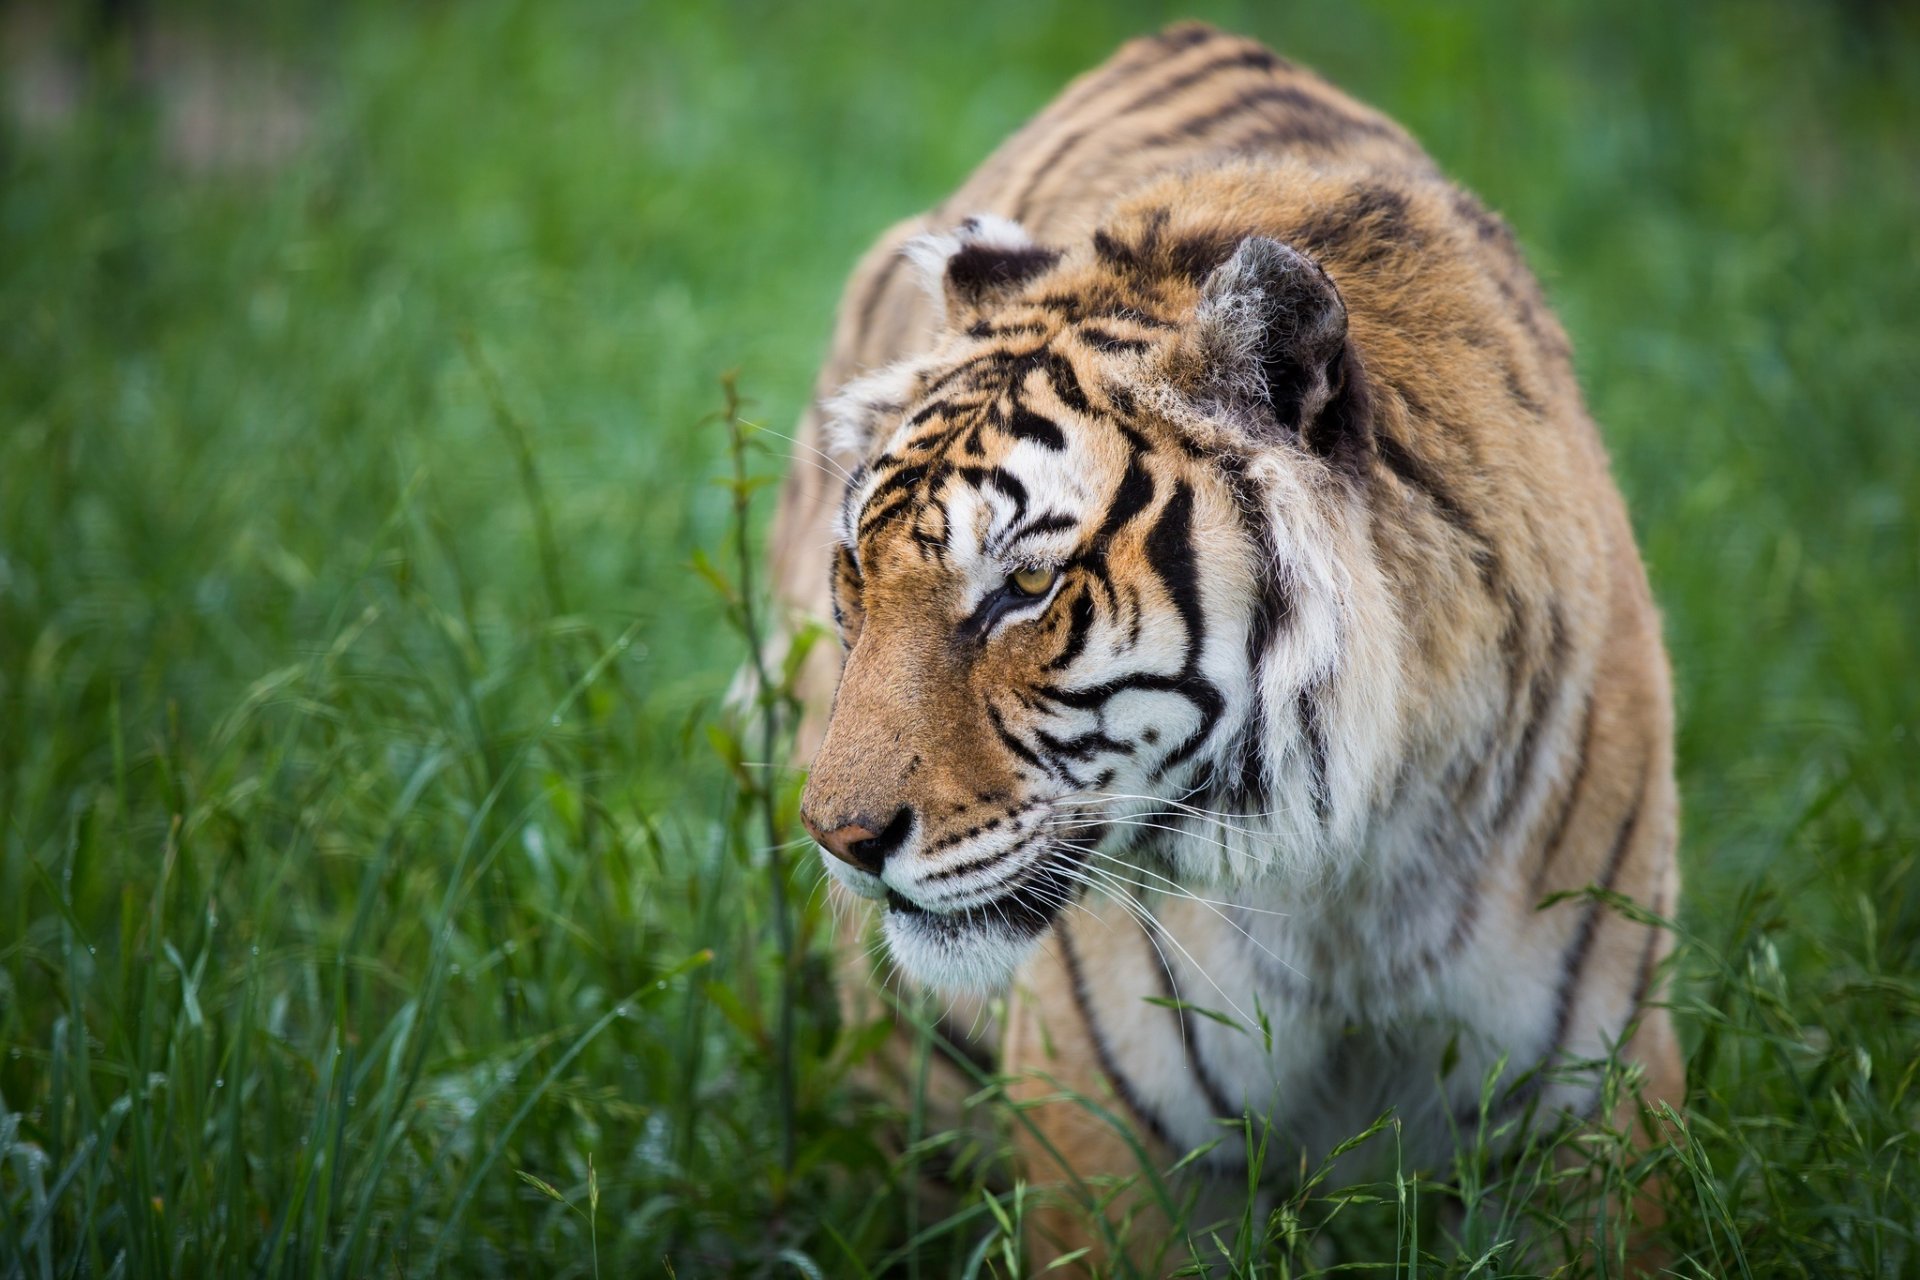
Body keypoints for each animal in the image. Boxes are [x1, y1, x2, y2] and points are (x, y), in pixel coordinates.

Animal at [769, 21, 1683, 1273]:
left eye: (1026, 587)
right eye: (857, 572)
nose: (840, 839)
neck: (1356, 876)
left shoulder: (1595, 1097)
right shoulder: (1117, 1141)